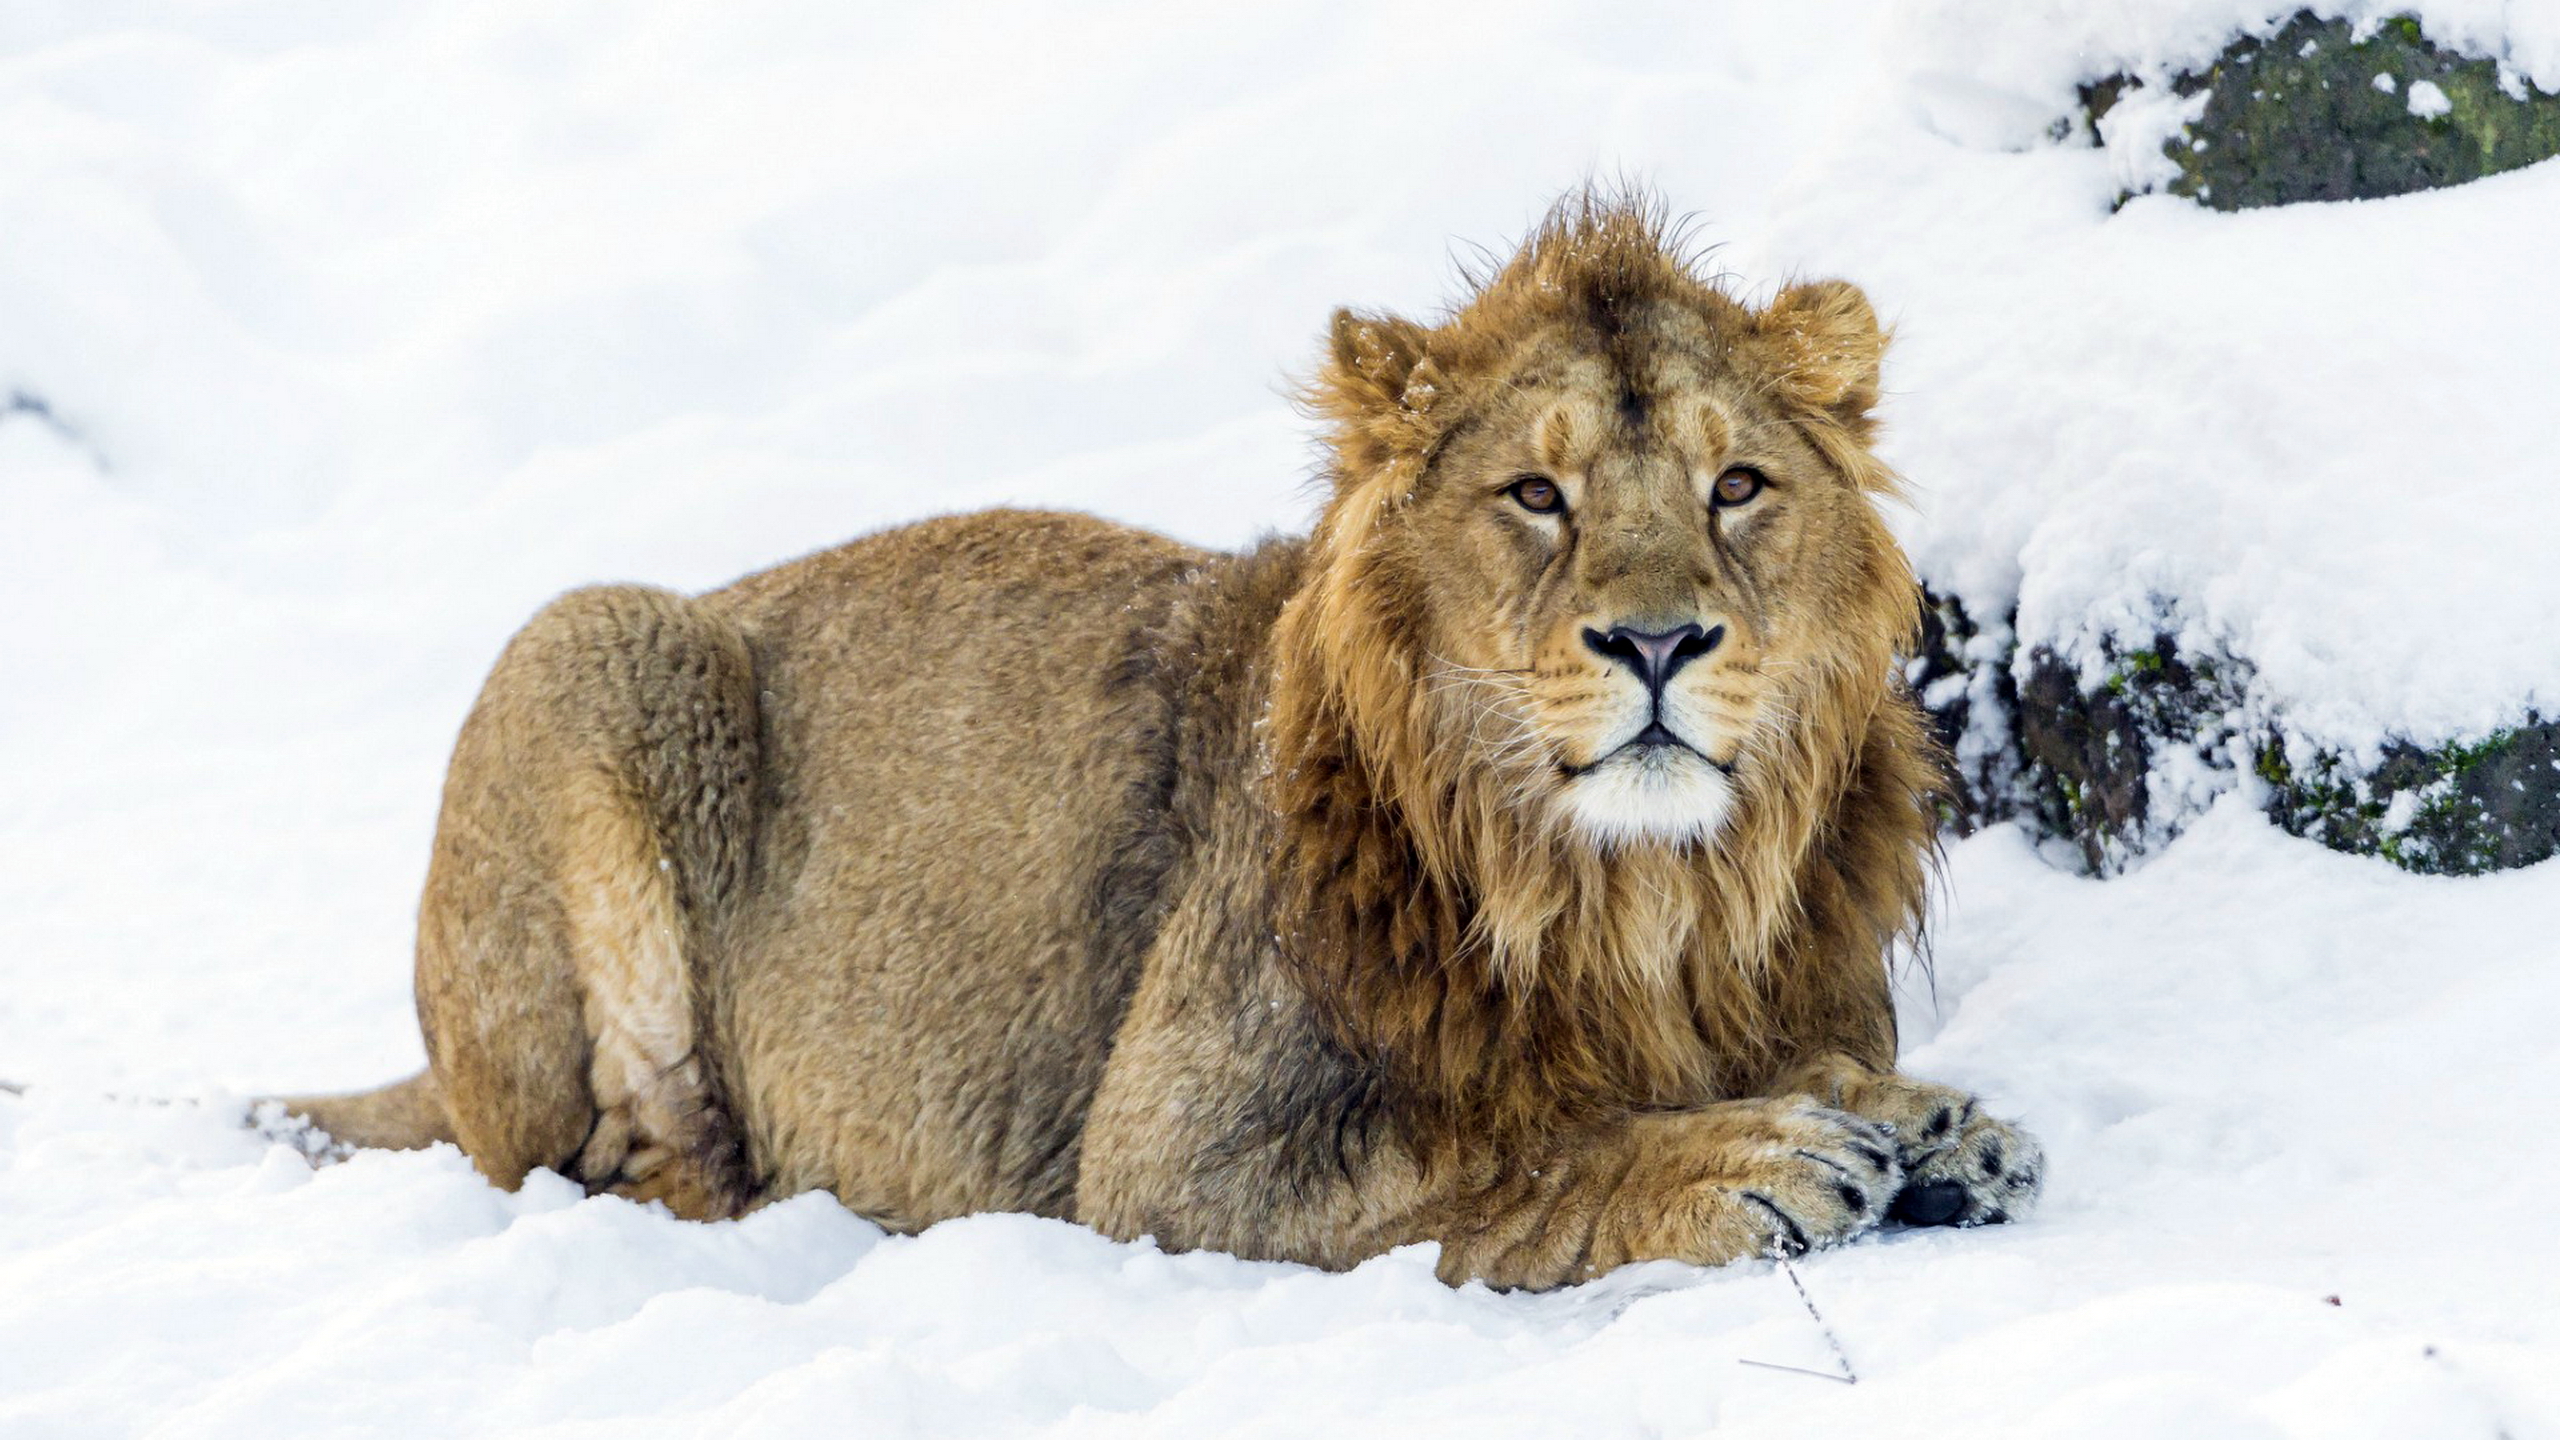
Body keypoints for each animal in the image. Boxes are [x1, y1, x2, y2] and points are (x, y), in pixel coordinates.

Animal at [285, 196, 2037, 1281]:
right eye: (1536, 494)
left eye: (1737, 485)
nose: (1660, 641)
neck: (1640, 898)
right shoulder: (1174, 1163)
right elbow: (1508, 1159)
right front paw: (1744, 1159)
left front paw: (1925, 1122)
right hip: (591, 640)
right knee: (612, 1165)